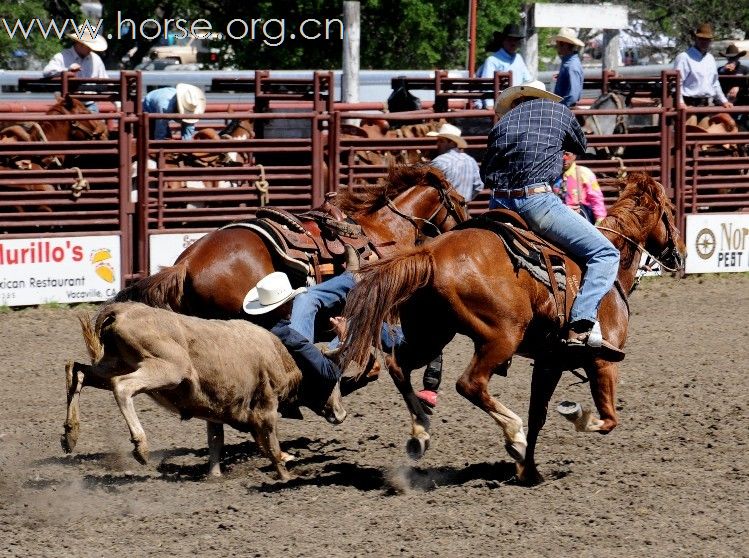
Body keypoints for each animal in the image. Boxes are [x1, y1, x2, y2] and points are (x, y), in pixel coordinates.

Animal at [342, 173, 688, 488]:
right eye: (670, 209)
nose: (681, 253)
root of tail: (430, 253)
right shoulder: (603, 362)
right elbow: (607, 420)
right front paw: (573, 416)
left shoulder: (550, 362)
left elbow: (539, 415)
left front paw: (529, 471)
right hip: (500, 338)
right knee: (469, 384)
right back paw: (512, 434)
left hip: (432, 333)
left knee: (397, 365)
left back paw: (421, 434)